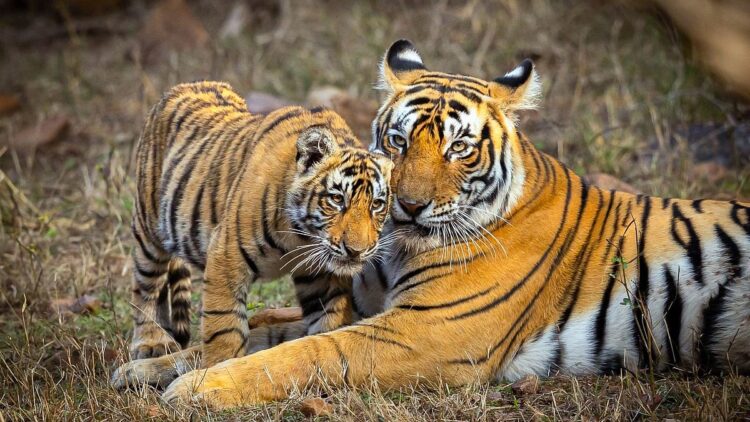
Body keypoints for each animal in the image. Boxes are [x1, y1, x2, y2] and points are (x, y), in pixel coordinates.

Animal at [124, 81, 394, 371]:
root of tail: (180, 87)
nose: (356, 251)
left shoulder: (321, 276)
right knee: (146, 286)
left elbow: (327, 322)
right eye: (336, 199)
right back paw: (151, 343)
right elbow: (224, 328)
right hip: (149, 230)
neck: (301, 236)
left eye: (377, 205)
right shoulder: (226, 257)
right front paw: (219, 370)